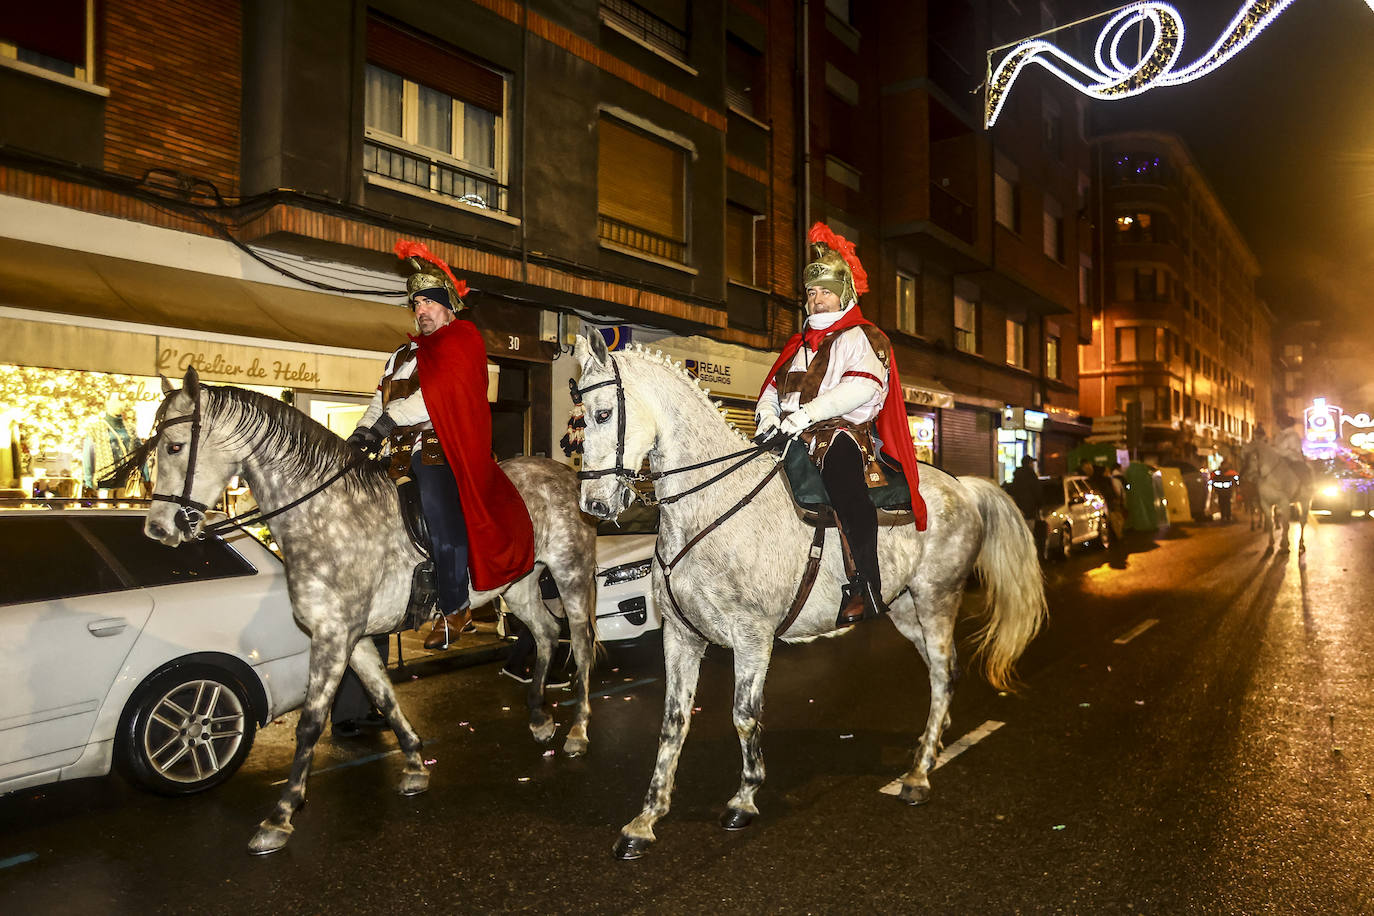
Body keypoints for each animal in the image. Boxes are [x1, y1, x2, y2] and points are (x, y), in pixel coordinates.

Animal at [574, 336, 1044, 862]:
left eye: (602, 413)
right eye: (578, 416)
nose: (594, 505)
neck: (710, 507)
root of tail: (963, 486)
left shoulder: (752, 637)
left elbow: (744, 717)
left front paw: (745, 798)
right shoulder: (680, 636)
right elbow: (673, 723)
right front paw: (646, 819)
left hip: (936, 599)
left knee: (943, 676)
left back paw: (920, 775)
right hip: (905, 610)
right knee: (943, 672)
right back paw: (932, 745)